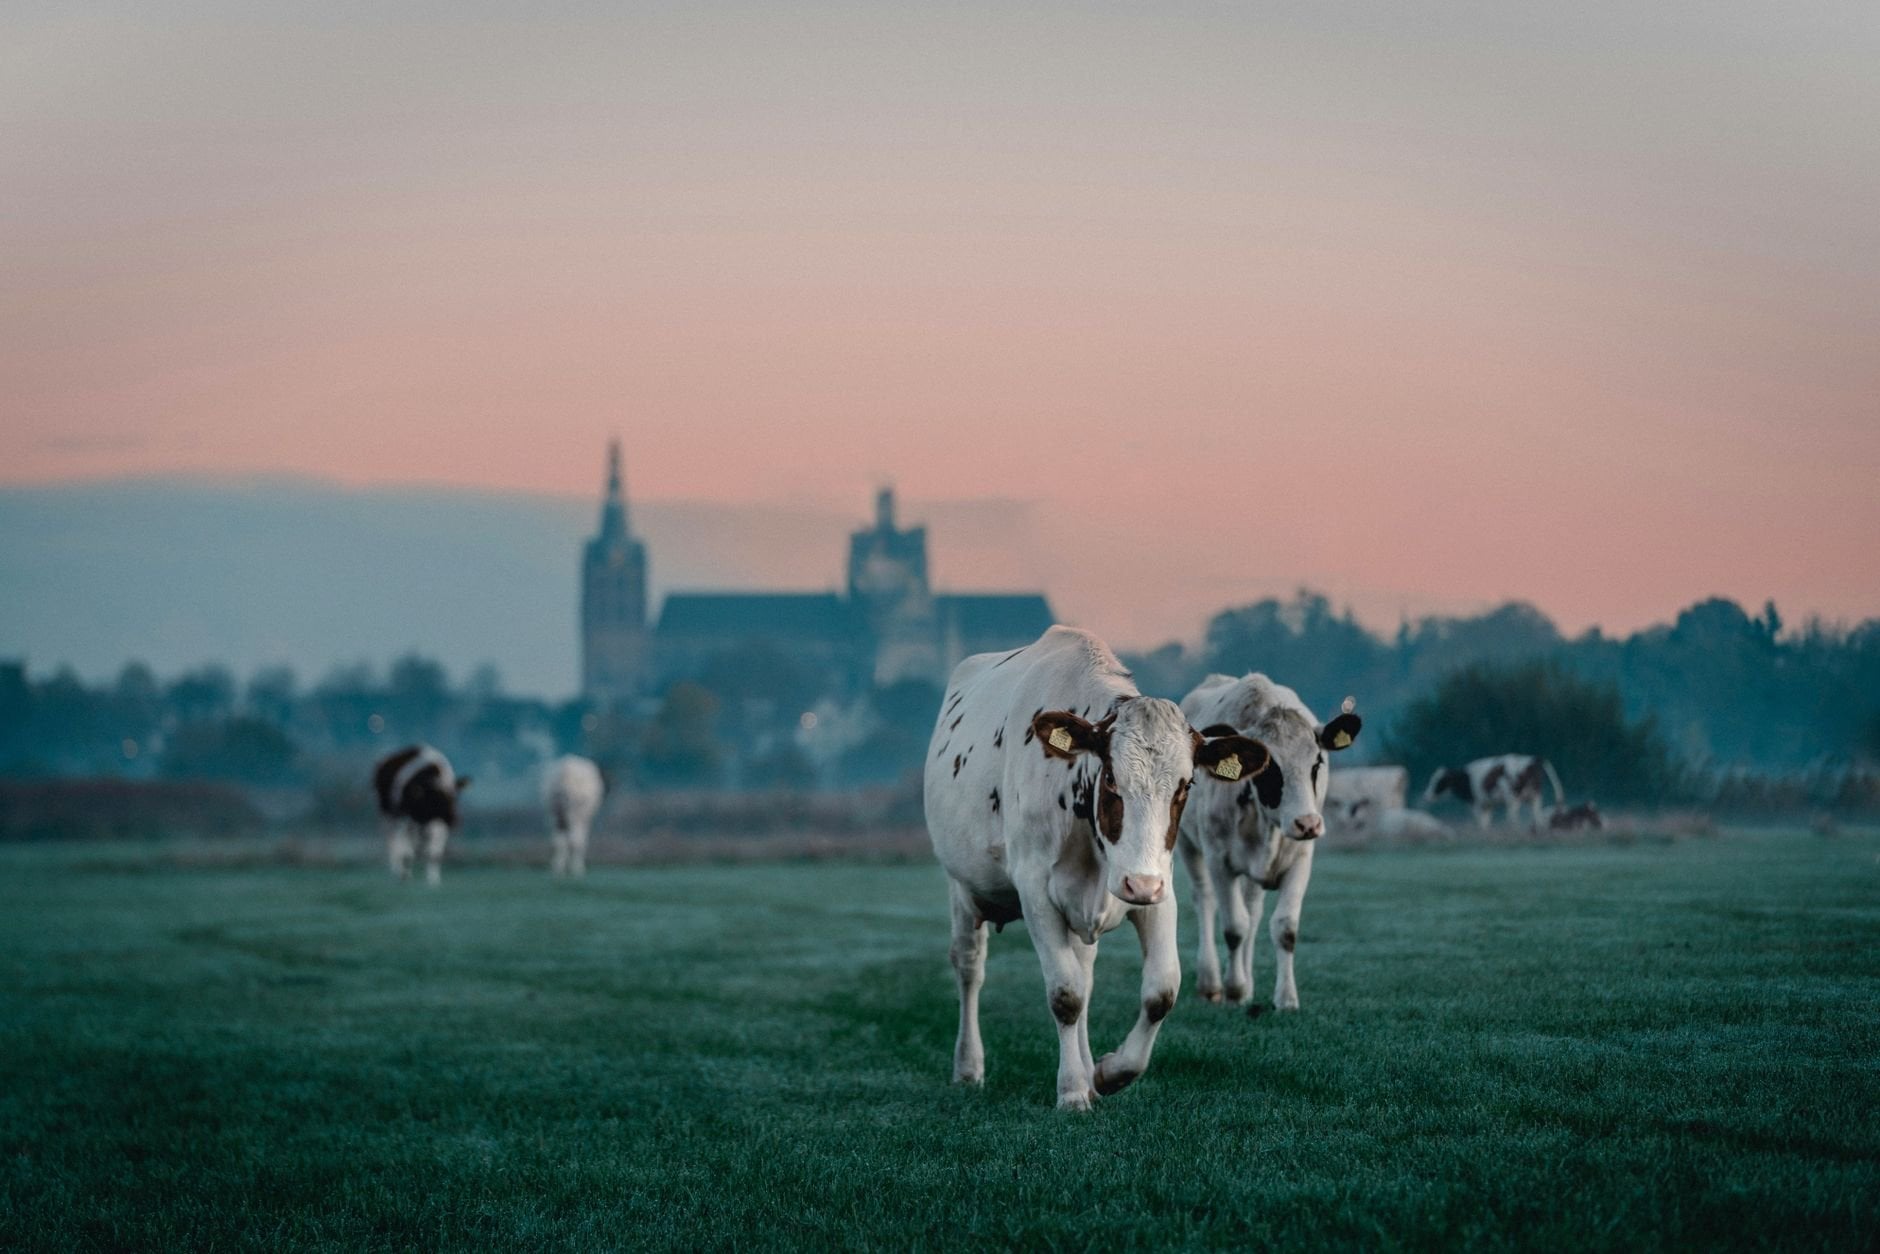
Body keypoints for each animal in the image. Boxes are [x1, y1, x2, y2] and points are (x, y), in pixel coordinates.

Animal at [371, 744, 470, 885]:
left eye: (454, 797)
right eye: (436, 799)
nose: (454, 818)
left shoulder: (437, 825)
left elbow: (434, 853)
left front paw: (433, 880)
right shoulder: (403, 816)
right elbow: (404, 848)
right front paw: (404, 875)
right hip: (388, 815)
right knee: (393, 841)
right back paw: (397, 870)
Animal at [924, 626, 1271, 1110]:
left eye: (1186, 786)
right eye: (1110, 778)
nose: (1138, 884)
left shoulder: (1159, 890)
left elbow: (1160, 990)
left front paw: (1109, 1073)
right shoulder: (1036, 893)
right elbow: (1065, 995)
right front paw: (1072, 1090)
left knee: (1084, 973)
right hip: (962, 888)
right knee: (970, 967)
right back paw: (969, 1066)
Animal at [1176, 673, 1363, 1012]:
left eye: (1317, 763)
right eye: (1270, 768)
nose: (1307, 823)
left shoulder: (1301, 859)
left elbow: (1284, 927)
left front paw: (1286, 997)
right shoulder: (1219, 862)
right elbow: (1234, 927)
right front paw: (1235, 989)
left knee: (1253, 911)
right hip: (1188, 845)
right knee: (1205, 900)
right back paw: (1211, 982)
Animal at [1424, 755, 1565, 829]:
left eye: (1439, 782)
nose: (1427, 795)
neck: (1466, 778)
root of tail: (1533, 759)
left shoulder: (1478, 804)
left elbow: (1481, 823)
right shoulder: (1488, 805)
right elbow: (1486, 823)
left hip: (1513, 798)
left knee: (1513, 818)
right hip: (1535, 797)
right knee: (1537, 817)